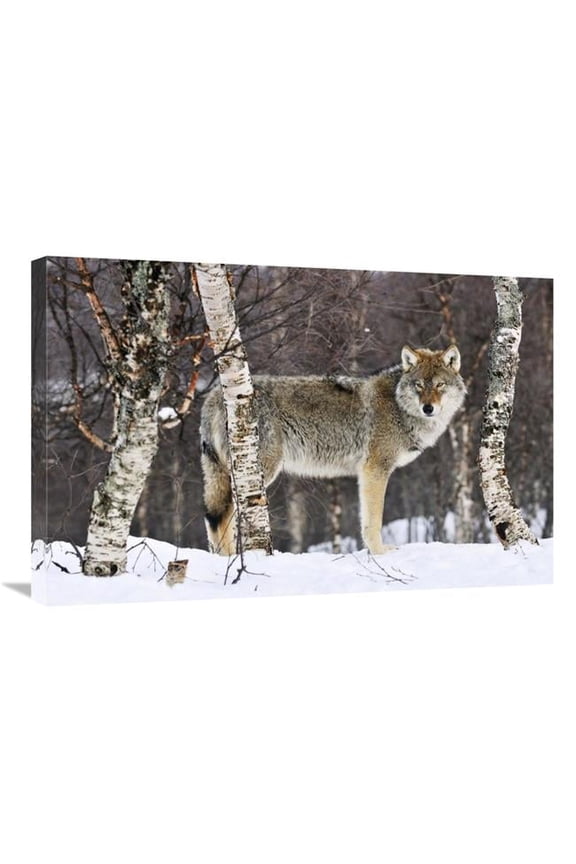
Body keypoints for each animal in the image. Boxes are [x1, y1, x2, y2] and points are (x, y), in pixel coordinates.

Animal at [200, 345, 466, 555]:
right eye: (419, 385)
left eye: (440, 385)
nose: (428, 408)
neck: (399, 407)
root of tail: (213, 394)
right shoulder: (374, 470)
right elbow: (373, 521)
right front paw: (380, 553)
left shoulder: (367, 473)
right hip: (256, 474)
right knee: (225, 517)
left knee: (214, 517)